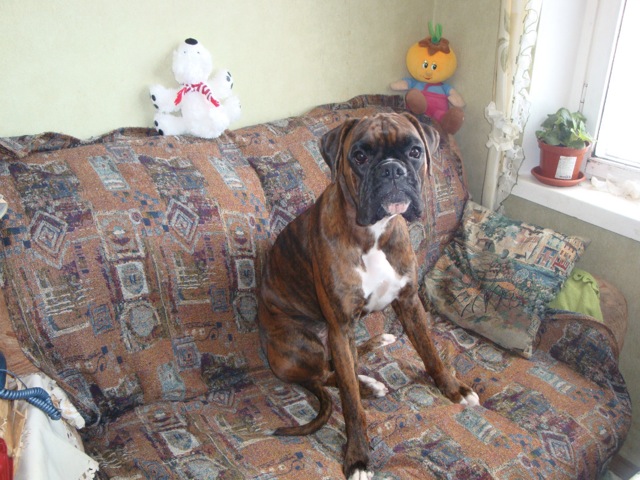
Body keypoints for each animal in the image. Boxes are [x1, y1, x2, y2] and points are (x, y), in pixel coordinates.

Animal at [257, 112, 479, 479]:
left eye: (415, 151)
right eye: (359, 156)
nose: (392, 170)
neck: (374, 233)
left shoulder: (410, 303)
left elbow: (430, 352)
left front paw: (452, 388)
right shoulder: (340, 325)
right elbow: (350, 403)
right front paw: (358, 456)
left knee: (340, 363)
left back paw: (378, 346)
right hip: (302, 345)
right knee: (327, 374)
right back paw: (369, 385)